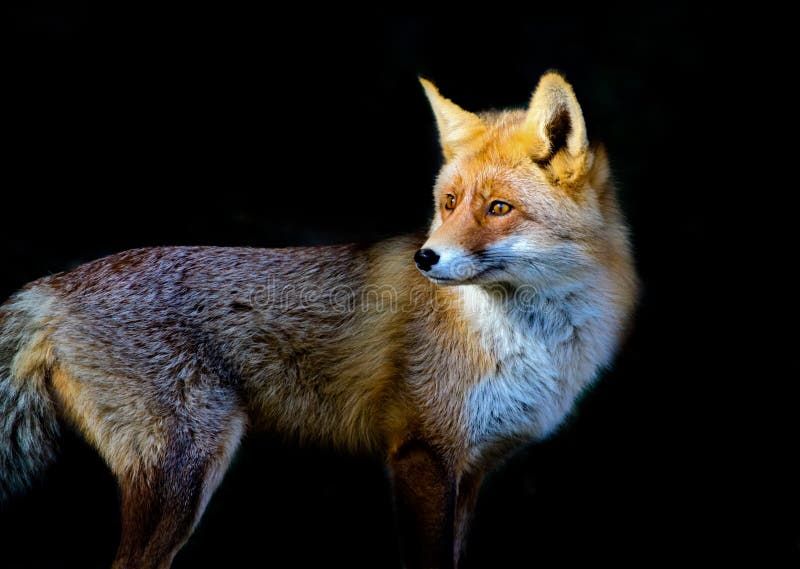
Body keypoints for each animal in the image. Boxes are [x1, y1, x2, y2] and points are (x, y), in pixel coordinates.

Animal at [0, 72, 636, 568]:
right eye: (450, 203)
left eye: (499, 208)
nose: (424, 258)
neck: (526, 338)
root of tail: (50, 287)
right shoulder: (422, 454)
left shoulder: (471, 468)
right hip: (186, 468)